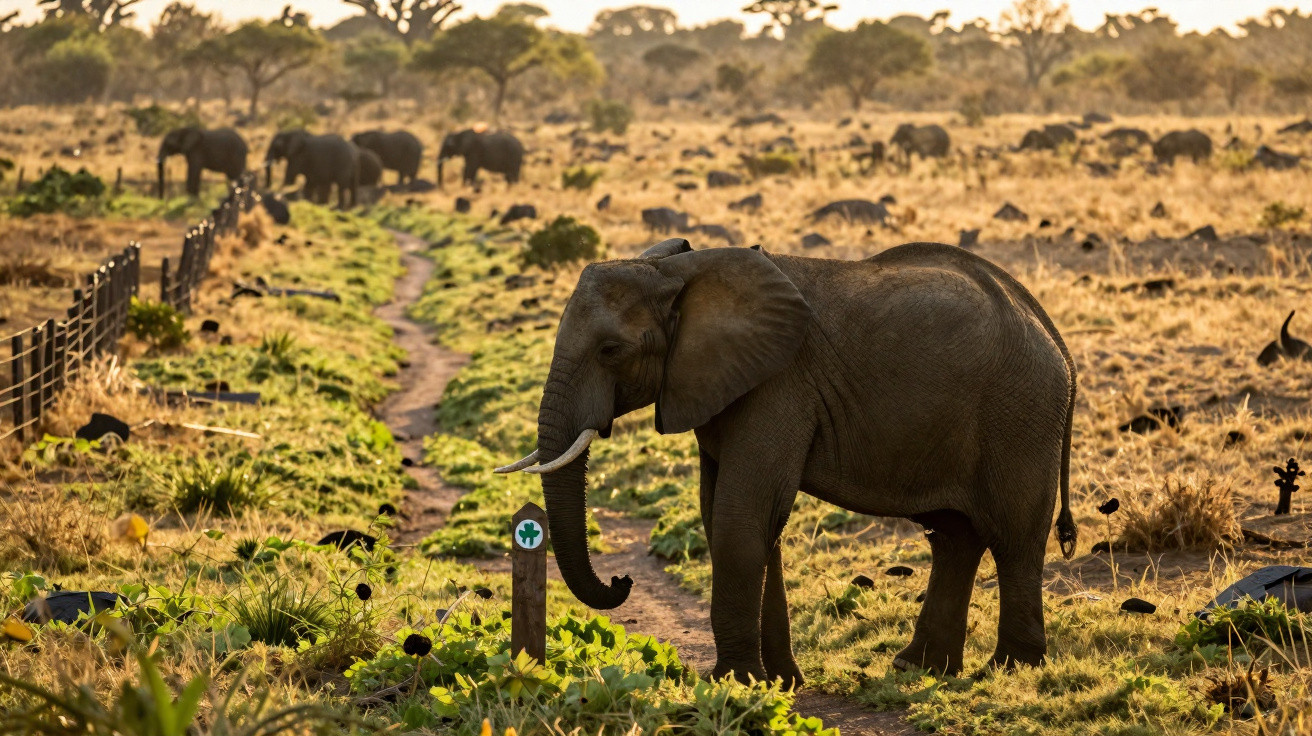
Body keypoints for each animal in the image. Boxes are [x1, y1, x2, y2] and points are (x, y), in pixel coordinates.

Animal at [495, 238, 1079, 687]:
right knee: (955, 537)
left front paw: (732, 683)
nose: (622, 581)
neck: (678, 271)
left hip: (1020, 414)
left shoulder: (777, 386)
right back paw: (919, 669)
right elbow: (734, 518)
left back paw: (1009, 671)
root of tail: (1049, 329)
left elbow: (741, 518)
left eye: (611, 350)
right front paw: (778, 682)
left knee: (1014, 538)